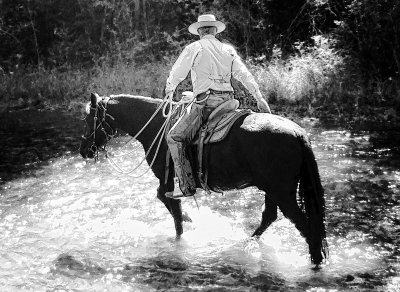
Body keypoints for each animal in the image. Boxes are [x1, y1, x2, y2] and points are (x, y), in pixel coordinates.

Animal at [79, 92, 326, 266]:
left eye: (88, 118)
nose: (84, 151)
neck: (155, 126)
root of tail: (298, 134)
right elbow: (168, 202)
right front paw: (189, 220)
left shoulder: (166, 179)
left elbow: (172, 207)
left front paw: (181, 238)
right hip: (272, 189)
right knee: (269, 217)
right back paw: (245, 243)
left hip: (282, 192)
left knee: (306, 228)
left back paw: (315, 265)